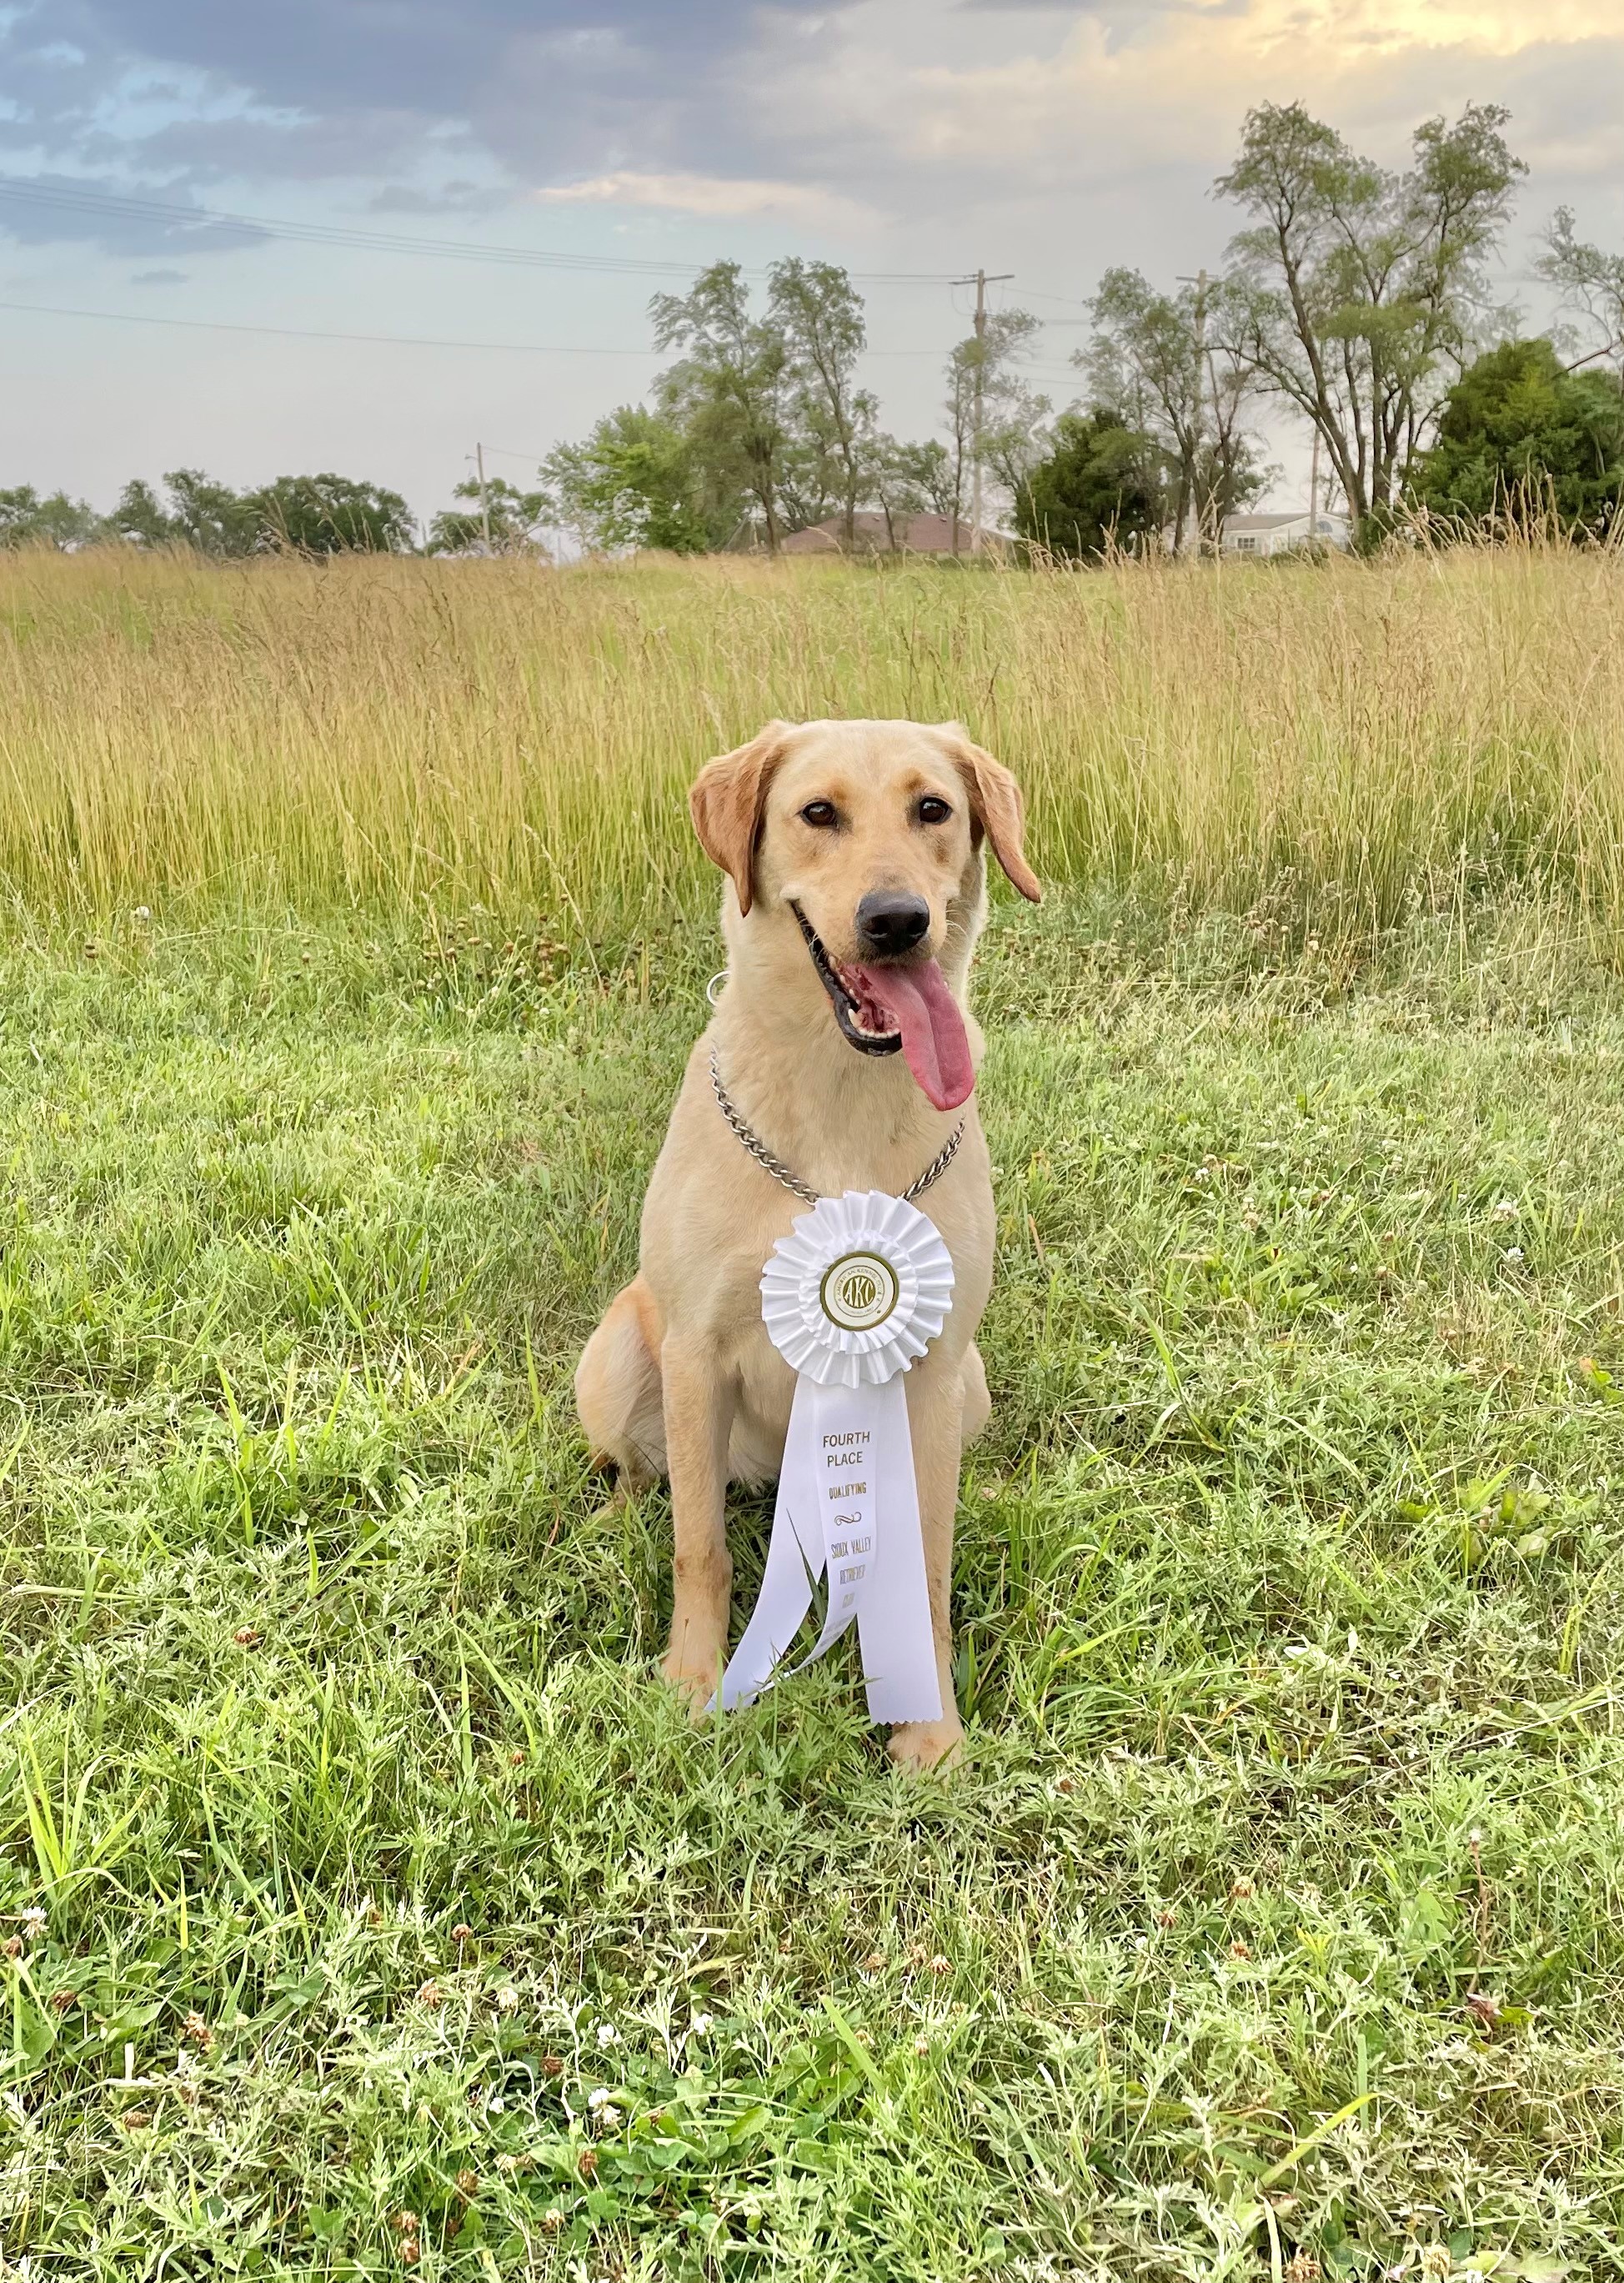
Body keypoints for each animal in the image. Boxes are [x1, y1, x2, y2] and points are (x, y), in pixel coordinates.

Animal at [578, 712, 1041, 1762]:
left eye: (933, 808)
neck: (840, 1092)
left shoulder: (932, 1366)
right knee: (647, 1476)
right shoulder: (696, 1349)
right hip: (618, 1353)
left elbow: (926, 1567)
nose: (896, 920)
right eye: (818, 812)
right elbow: (699, 1547)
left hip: (972, 1381)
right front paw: (692, 1684)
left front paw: (929, 1732)